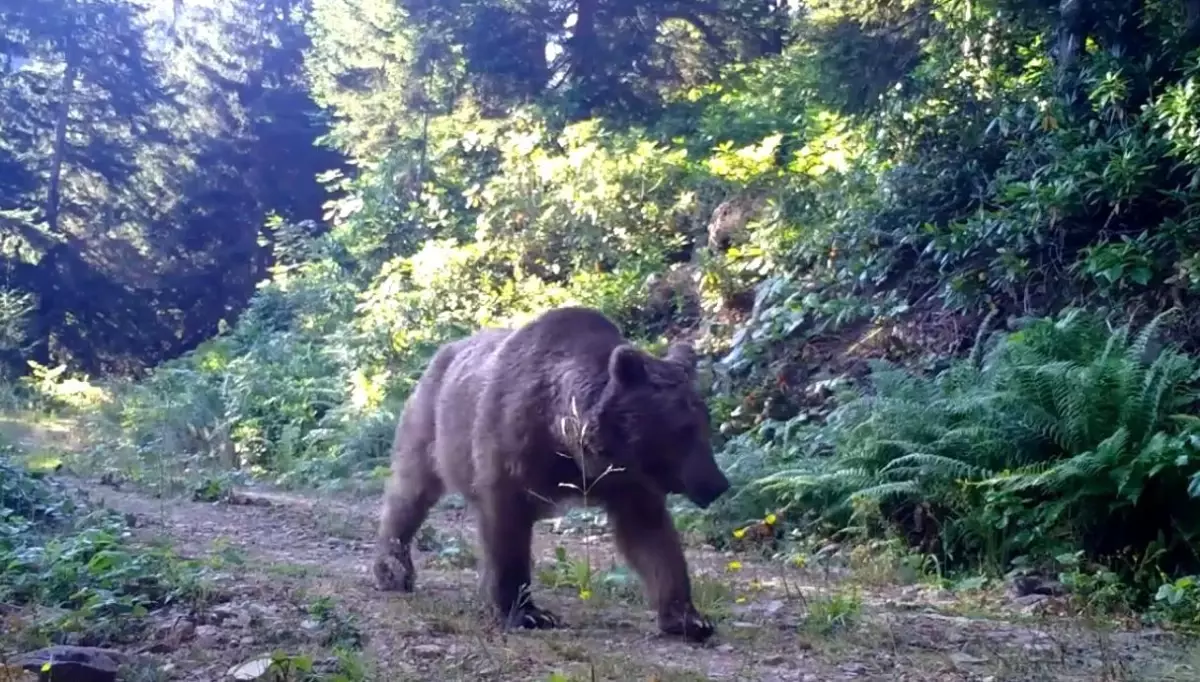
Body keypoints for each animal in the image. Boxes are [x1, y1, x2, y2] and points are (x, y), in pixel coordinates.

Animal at [372, 306, 729, 643]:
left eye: (704, 424)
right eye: (683, 430)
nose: (718, 484)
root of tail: (443, 352)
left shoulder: (626, 479)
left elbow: (651, 537)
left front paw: (688, 619)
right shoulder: (510, 450)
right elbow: (506, 530)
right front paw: (526, 612)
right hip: (431, 422)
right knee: (411, 491)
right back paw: (393, 569)